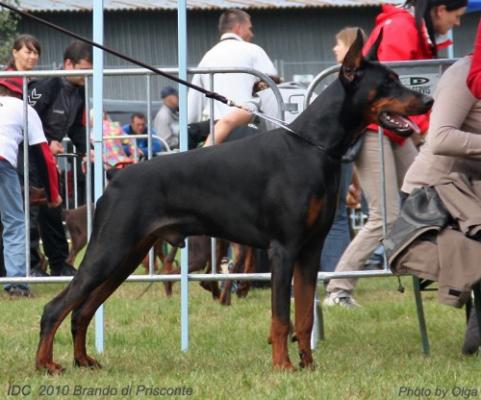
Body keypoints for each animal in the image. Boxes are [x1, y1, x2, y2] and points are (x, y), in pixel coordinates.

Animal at [33, 32, 432, 376]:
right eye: (388, 82)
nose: (427, 100)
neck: (313, 146)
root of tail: (114, 179)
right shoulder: (283, 249)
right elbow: (281, 316)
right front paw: (283, 366)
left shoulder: (310, 250)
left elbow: (304, 316)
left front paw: (309, 365)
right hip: (110, 249)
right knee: (56, 307)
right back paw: (45, 364)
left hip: (128, 255)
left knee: (82, 310)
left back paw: (84, 360)